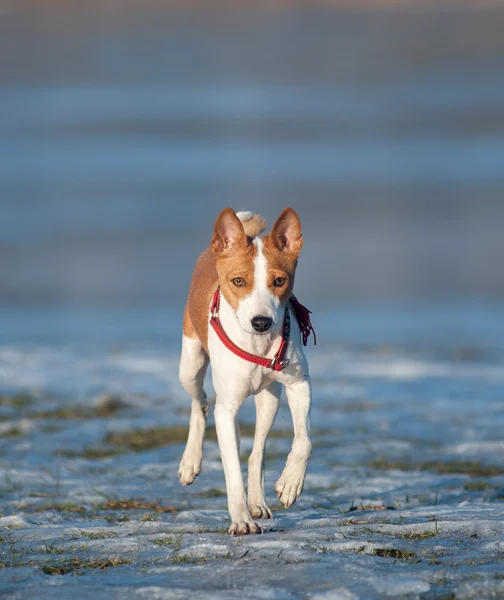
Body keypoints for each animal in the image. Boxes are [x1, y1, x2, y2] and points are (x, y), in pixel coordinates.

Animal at [177, 207, 312, 536]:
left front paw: (291, 483)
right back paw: (190, 462)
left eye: (279, 280)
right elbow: (231, 472)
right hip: (190, 365)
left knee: (257, 452)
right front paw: (240, 520)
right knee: (200, 404)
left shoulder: (299, 383)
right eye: (238, 281)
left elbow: (303, 441)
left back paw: (258, 502)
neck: (258, 345)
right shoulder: (227, 411)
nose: (261, 322)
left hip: (270, 398)